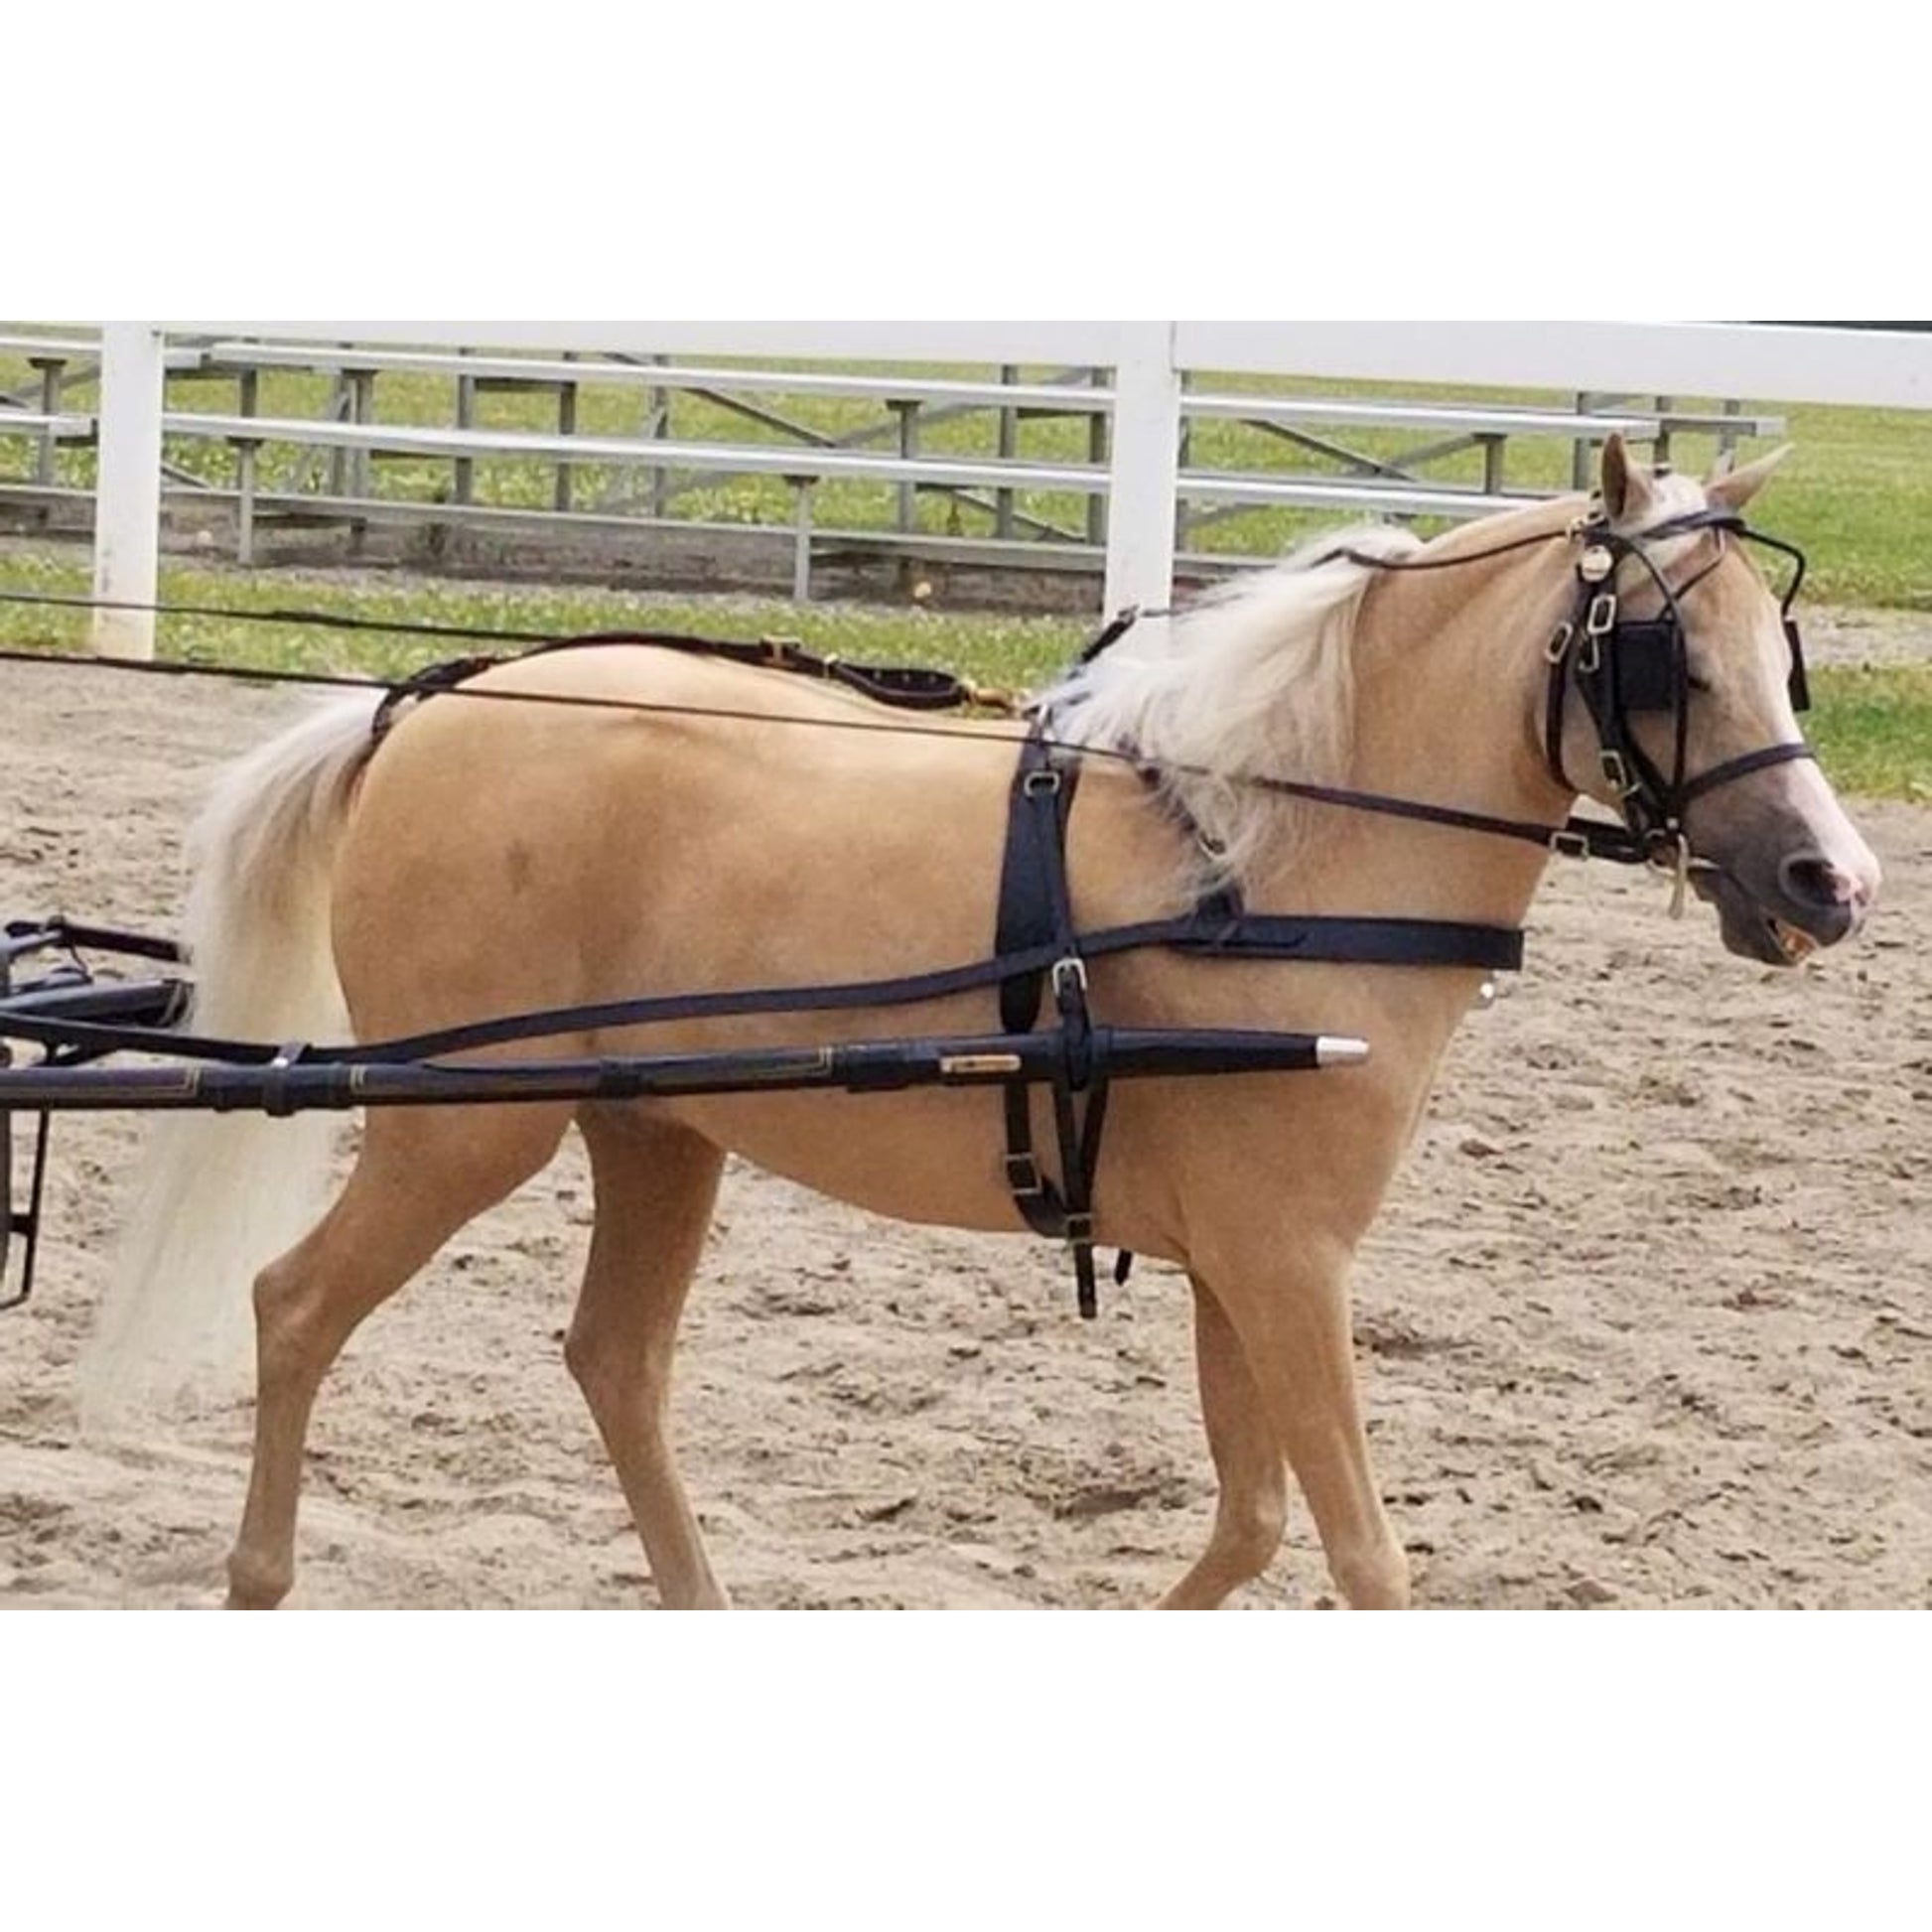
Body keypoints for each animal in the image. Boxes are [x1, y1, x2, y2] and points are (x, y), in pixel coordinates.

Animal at [80, 436, 1880, 1610]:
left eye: (1778, 652)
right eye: (1665, 658)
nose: (1831, 878)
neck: (1261, 858)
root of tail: (429, 700)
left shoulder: (1238, 1261)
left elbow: (1247, 1524)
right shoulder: (1286, 1258)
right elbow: (1359, 1552)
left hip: (652, 1124)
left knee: (615, 1362)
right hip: (467, 1118)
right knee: (299, 1304)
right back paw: (258, 1578)